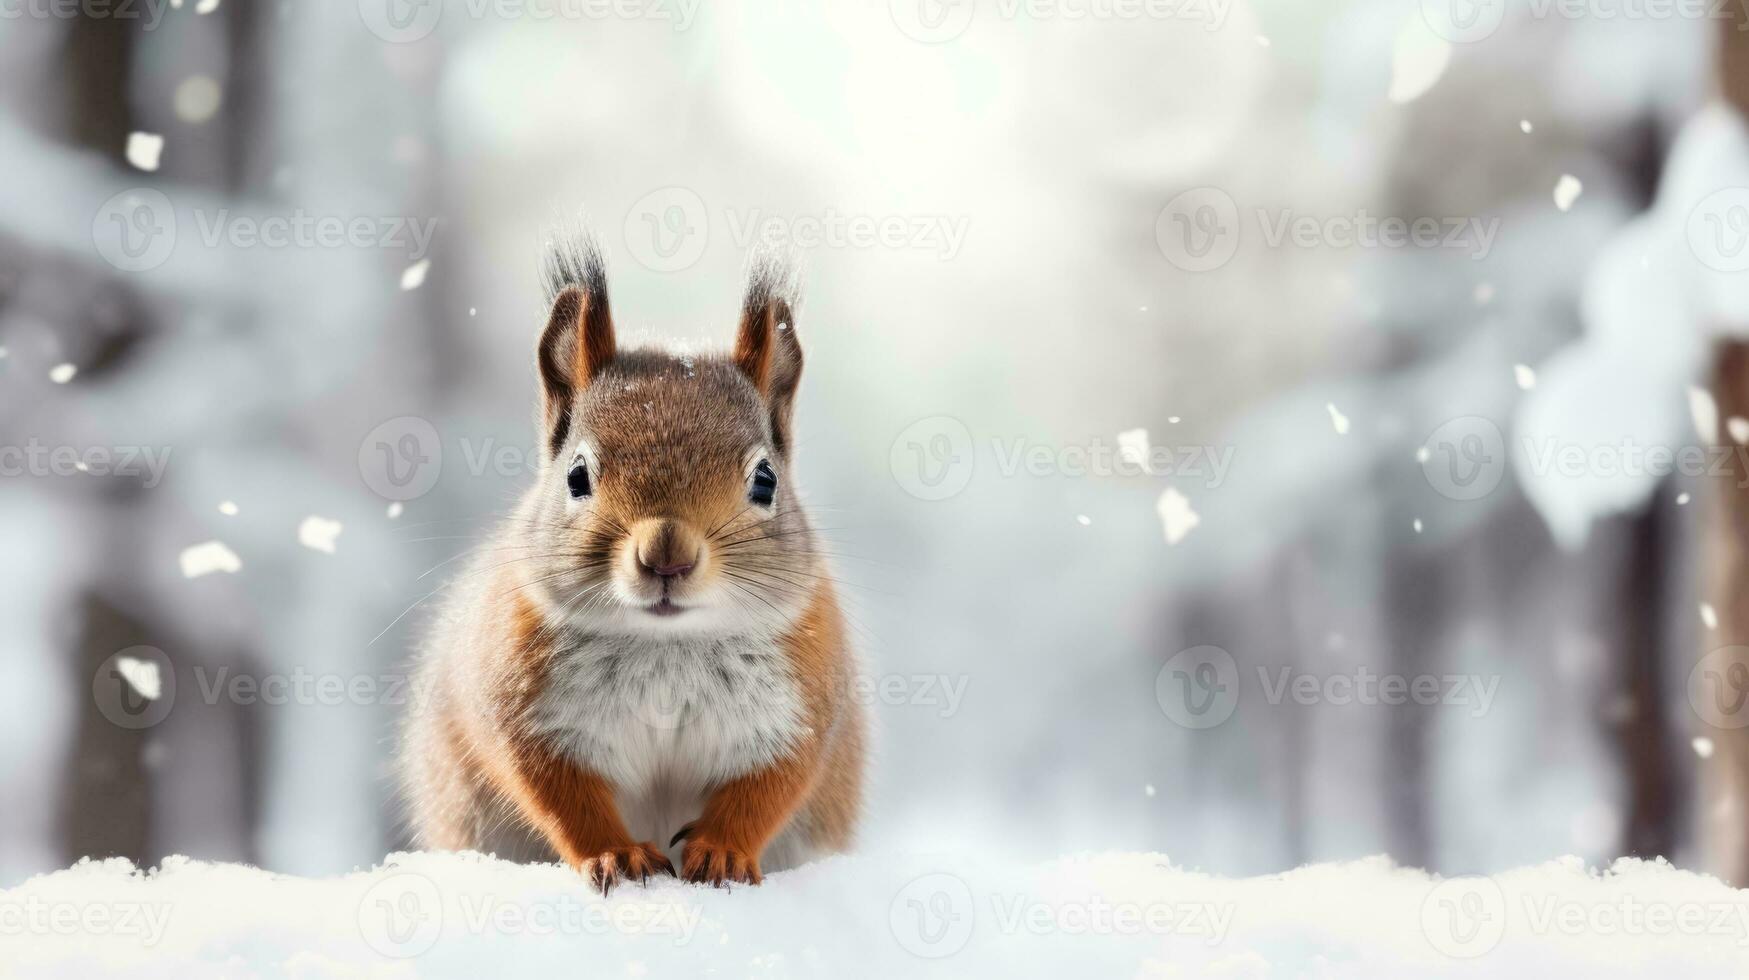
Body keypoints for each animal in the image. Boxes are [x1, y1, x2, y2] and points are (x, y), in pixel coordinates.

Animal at [398, 236, 860, 889]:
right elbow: (562, 796)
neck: (666, 647)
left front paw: (723, 851)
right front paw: (617, 855)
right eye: (576, 476)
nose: (666, 554)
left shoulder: (800, 707)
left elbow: (767, 790)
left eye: (766, 480)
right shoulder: (524, 708)